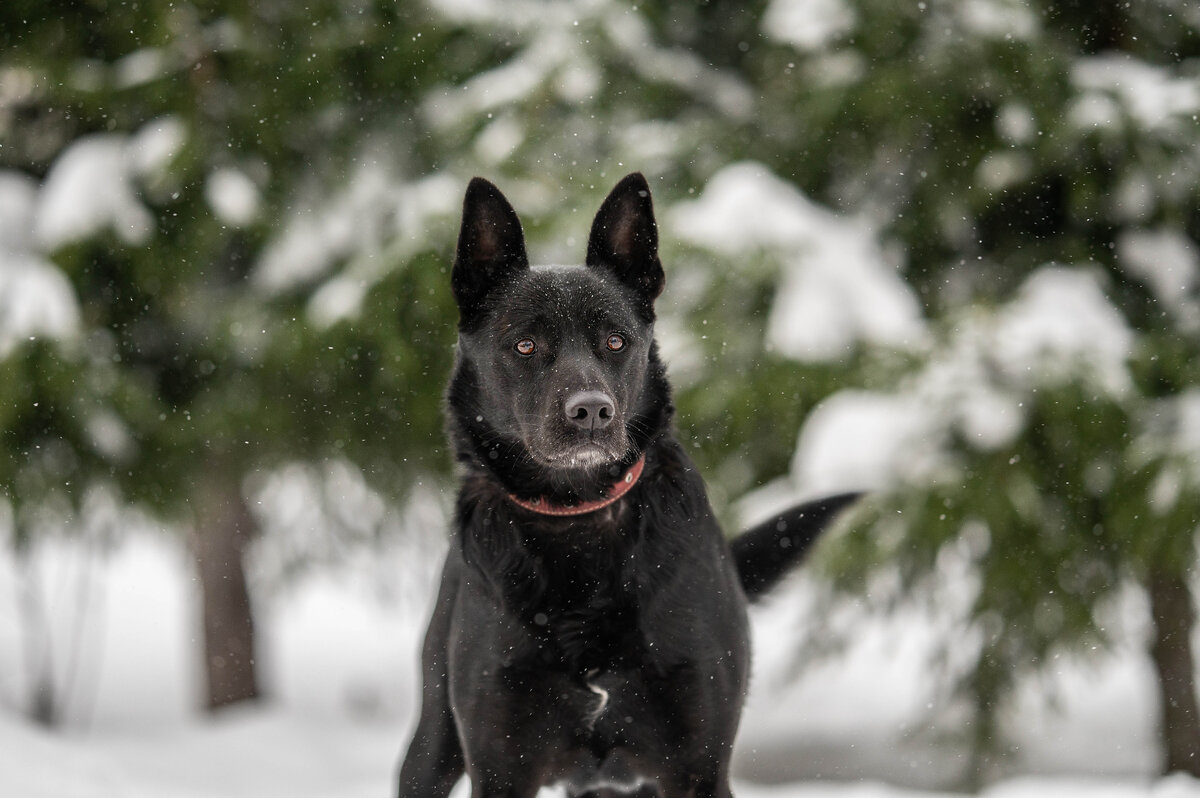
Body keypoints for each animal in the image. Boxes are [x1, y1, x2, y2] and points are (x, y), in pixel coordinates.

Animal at [398, 174, 859, 796]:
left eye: (615, 342)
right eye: (525, 346)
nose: (592, 411)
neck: (579, 518)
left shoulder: (698, 766)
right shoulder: (499, 767)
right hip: (432, 746)